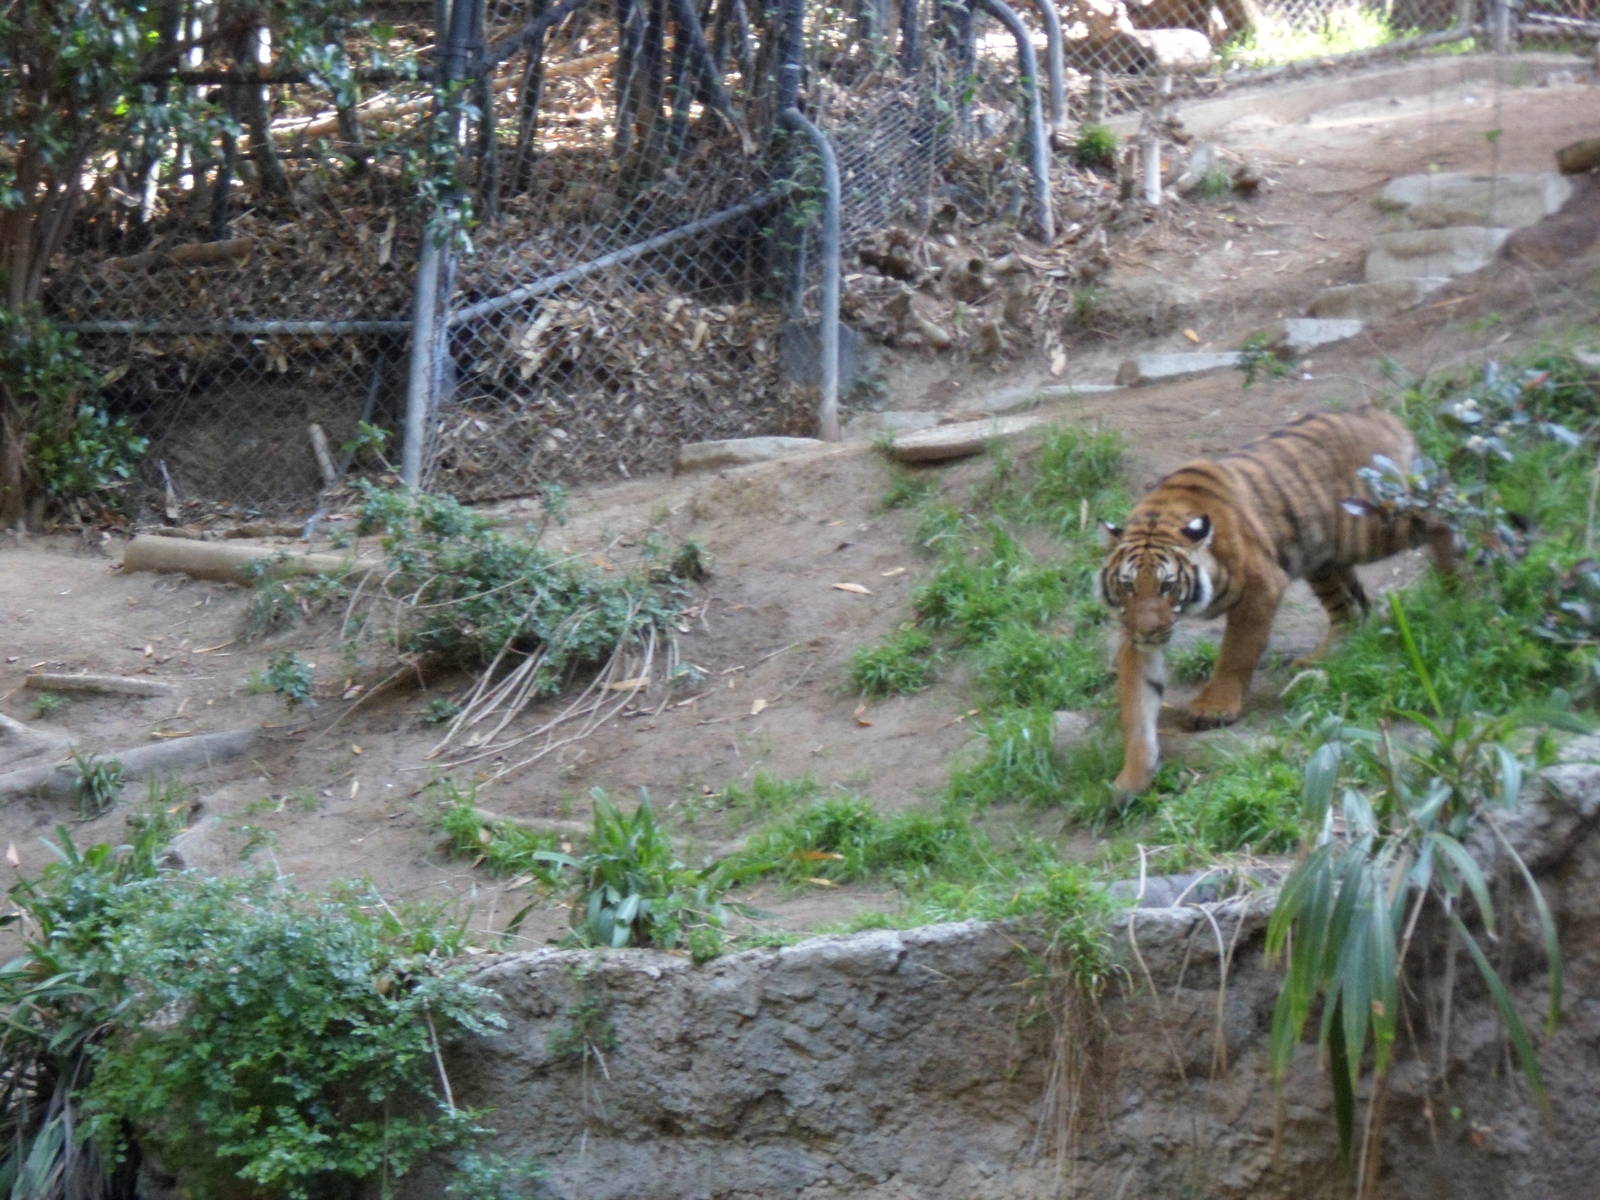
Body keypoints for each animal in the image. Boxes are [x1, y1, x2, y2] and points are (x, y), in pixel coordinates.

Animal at [1097, 408, 1457, 797]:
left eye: (1167, 586)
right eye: (1128, 587)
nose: (1147, 631)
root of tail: (1379, 414)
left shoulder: (1261, 586)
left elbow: (1236, 652)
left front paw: (1214, 708)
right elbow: (1138, 704)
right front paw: (1131, 780)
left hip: (1370, 528)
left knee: (1443, 514)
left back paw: (1463, 584)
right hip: (1321, 556)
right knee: (1351, 609)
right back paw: (1322, 659)